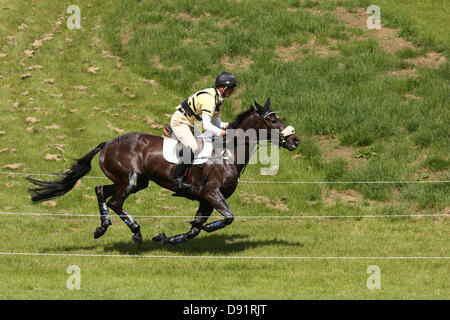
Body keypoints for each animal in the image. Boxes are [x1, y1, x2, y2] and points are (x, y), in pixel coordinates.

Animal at [29, 99, 302, 246]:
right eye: (272, 120)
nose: (295, 140)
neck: (229, 153)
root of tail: (107, 143)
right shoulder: (212, 194)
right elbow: (226, 218)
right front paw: (199, 228)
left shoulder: (205, 200)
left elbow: (194, 230)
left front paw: (166, 238)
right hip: (129, 181)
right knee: (115, 202)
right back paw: (136, 234)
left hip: (135, 181)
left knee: (100, 190)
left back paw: (101, 228)